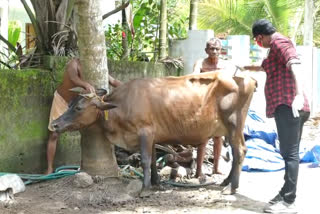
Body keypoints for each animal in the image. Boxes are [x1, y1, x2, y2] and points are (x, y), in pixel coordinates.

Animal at [52, 71, 258, 194]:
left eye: (78, 107)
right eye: (69, 104)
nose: (54, 124)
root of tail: (247, 78)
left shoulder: (145, 131)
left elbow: (145, 160)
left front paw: (144, 188)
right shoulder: (152, 136)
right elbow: (152, 160)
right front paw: (156, 183)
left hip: (234, 124)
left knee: (240, 151)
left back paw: (232, 187)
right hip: (228, 128)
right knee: (238, 153)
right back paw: (226, 182)